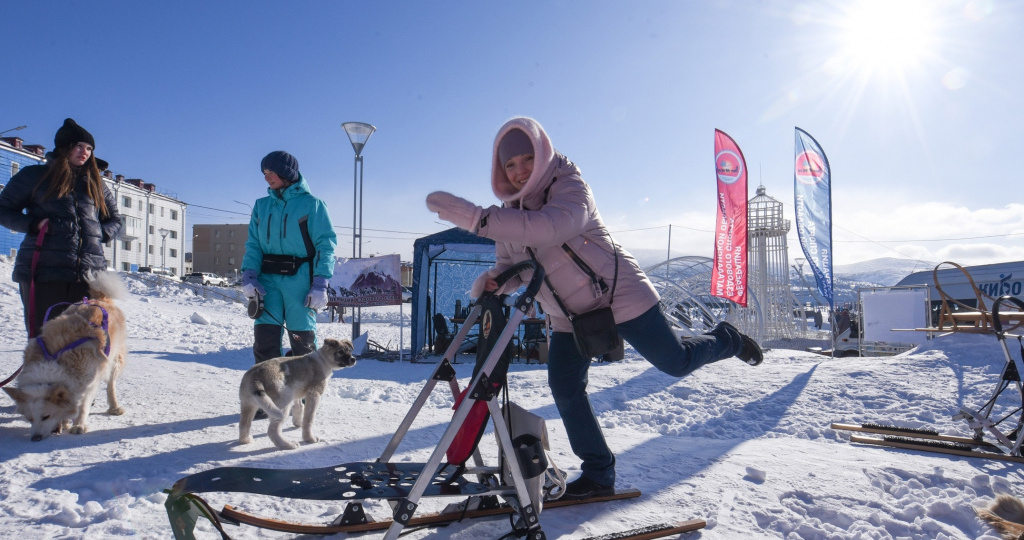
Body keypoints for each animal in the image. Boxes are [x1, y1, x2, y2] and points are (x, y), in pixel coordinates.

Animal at [3, 272, 128, 442]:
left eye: (46, 416)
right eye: (29, 419)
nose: (35, 438)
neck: (53, 361)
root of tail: (100, 299)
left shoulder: (90, 382)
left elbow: (83, 405)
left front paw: (79, 425)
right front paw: (65, 422)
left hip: (114, 360)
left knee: (111, 385)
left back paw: (114, 407)